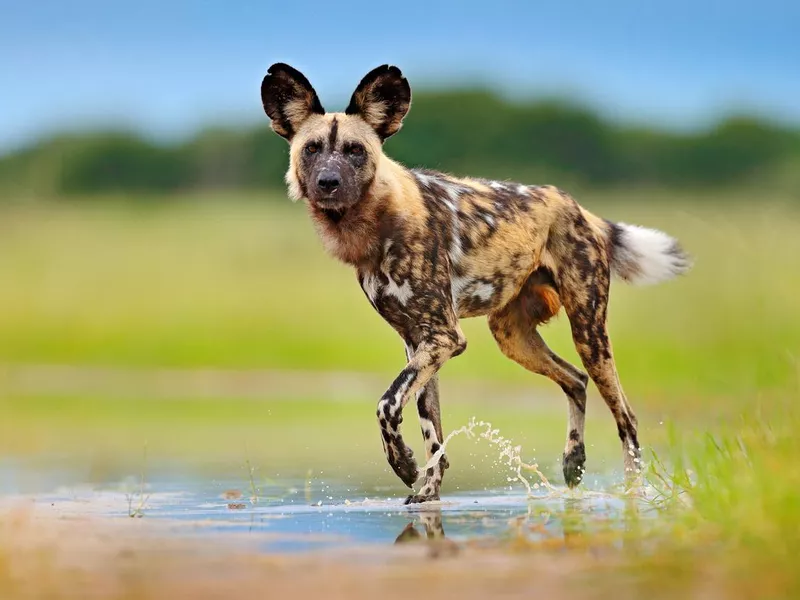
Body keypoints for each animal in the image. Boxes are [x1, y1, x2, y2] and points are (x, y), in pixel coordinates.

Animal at [260, 63, 692, 504]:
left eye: (354, 151)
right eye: (311, 149)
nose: (328, 182)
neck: (376, 222)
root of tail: (577, 207)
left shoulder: (443, 338)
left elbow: (387, 404)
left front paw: (403, 466)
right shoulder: (420, 342)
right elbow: (431, 430)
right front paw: (427, 490)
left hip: (589, 333)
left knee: (626, 415)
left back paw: (634, 494)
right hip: (512, 337)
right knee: (575, 379)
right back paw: (573, 461)